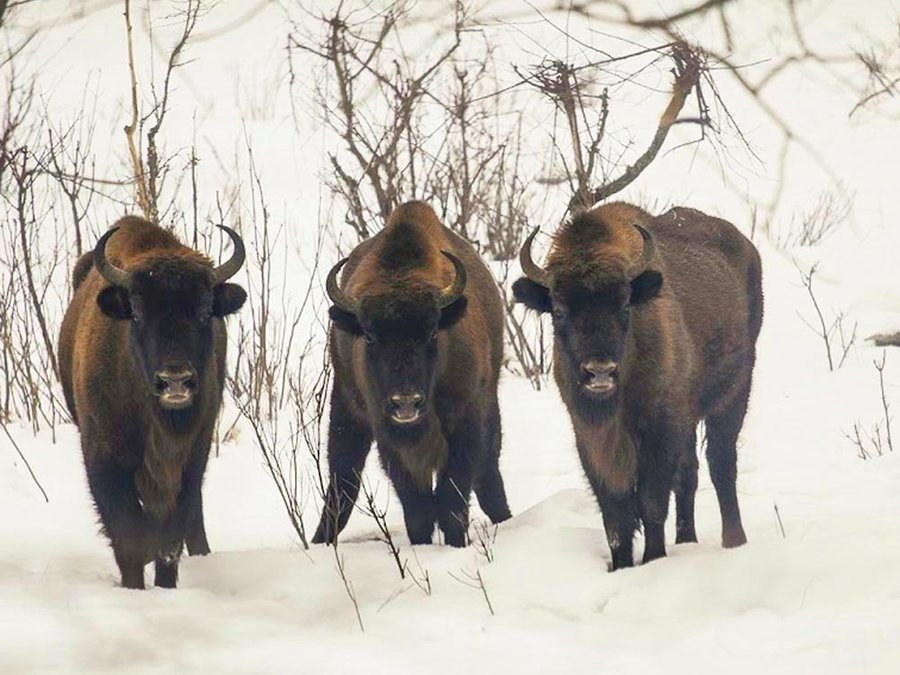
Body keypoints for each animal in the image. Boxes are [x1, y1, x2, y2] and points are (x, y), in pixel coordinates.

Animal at [59, 217, 246, 588]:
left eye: (205, 311)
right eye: (138, 314)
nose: (175, 379)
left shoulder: (191, 456)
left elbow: (169, 538)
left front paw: (165, 587)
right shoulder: (104, 458)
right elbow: (129, 537)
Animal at [312, 201, 510, 548]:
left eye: (431, 333)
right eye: (370, 336)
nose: (405, 402)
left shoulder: (466, 422)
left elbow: (452, 498)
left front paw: (456, 544)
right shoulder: (390, 437)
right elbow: (417, 505)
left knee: (488, 473)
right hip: (346, 409)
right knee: (343, 479)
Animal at [512, 202, 760, 572]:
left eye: (625, 304)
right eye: (558, 310)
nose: (600, 371)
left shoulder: (660, 430)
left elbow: (651, 502)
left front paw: (654, 559)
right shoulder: (591, 438)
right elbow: (616, 514)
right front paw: (621, 566)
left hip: (733, 395)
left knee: (721, 464)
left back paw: (734, 541)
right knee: (689, 473)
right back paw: (687, 540)